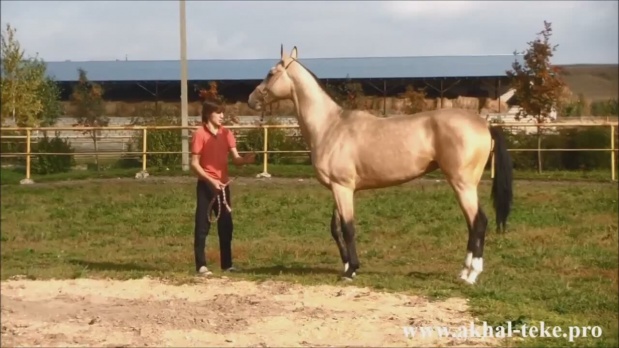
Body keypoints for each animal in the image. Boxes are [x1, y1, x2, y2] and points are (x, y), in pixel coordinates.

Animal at [246, 45, 512, 286]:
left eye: (270, 73)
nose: (251, 100)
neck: (330, 126)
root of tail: (485, 124)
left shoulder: (343, 188)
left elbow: (348, 227)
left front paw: (351, 270)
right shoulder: (338, 188)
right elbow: (335, 228)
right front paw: (347, 266)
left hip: (463, 184)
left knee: (479, 222)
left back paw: (471, 275)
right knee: (472, 224)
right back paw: (464, 272)